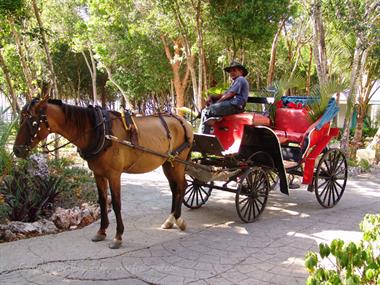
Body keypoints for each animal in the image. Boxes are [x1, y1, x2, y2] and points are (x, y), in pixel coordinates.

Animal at [12, 96, 193, 247]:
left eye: (33, 122)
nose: (16, 150)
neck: (100, 131)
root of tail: (183, 120)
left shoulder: (114, 175)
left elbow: (117, 204)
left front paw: (118, 237)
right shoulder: (98, 174)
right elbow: (102, 200)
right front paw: (101, 231)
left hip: (178, 163)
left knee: (181, 186)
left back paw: (179, 219)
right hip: (168, 163)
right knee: (175, 188)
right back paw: (170, 220)